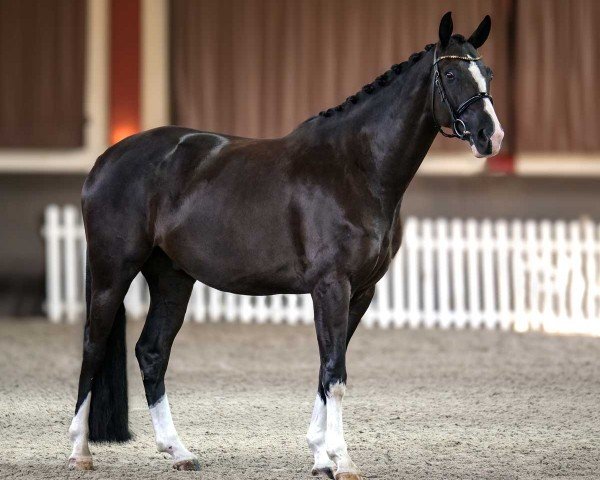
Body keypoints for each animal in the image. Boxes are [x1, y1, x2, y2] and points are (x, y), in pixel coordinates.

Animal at [68, 13, 504, 478]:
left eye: (488, 73)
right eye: (450, 74)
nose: (489, 136)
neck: (356, 167)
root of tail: (105, 160)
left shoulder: (360, 292)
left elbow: (326, 369)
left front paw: (320, 455)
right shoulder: (332, 286)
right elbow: (335, 373)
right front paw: (342, 459)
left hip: (172, 279)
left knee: (152, 352)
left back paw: (179, 451)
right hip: (113, 272)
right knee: (93, 346)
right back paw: (80, 450)